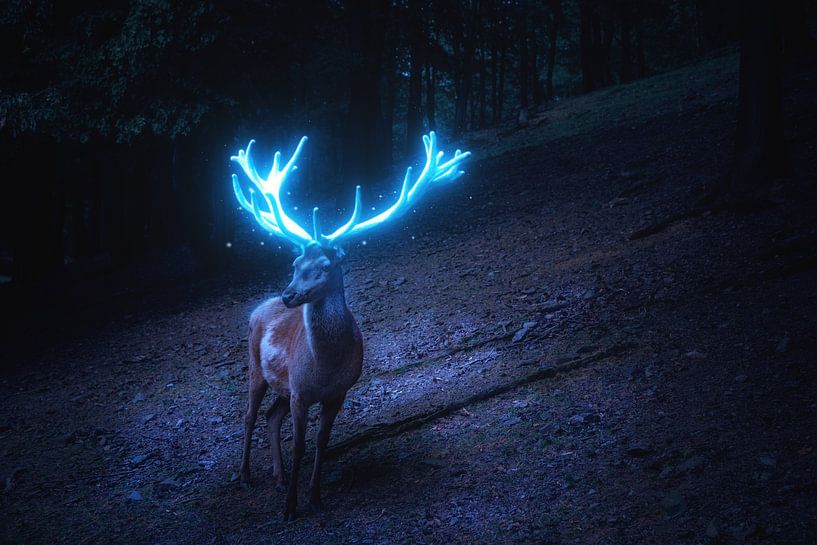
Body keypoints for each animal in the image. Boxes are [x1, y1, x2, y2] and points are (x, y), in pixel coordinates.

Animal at [230, 131, 470, 520]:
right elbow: (299, 446)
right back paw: (246, 475)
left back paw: (279, 478)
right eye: (294, 263)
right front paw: (291, 508)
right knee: (250, 415)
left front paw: (313, 497)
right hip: (254, 365)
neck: (323, 368)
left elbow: (322, 443)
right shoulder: (300, 392)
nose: (289, 294)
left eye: (326, 266)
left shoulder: (337, 393)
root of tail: (257, 310)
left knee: (270, 417)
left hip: (280, 385)